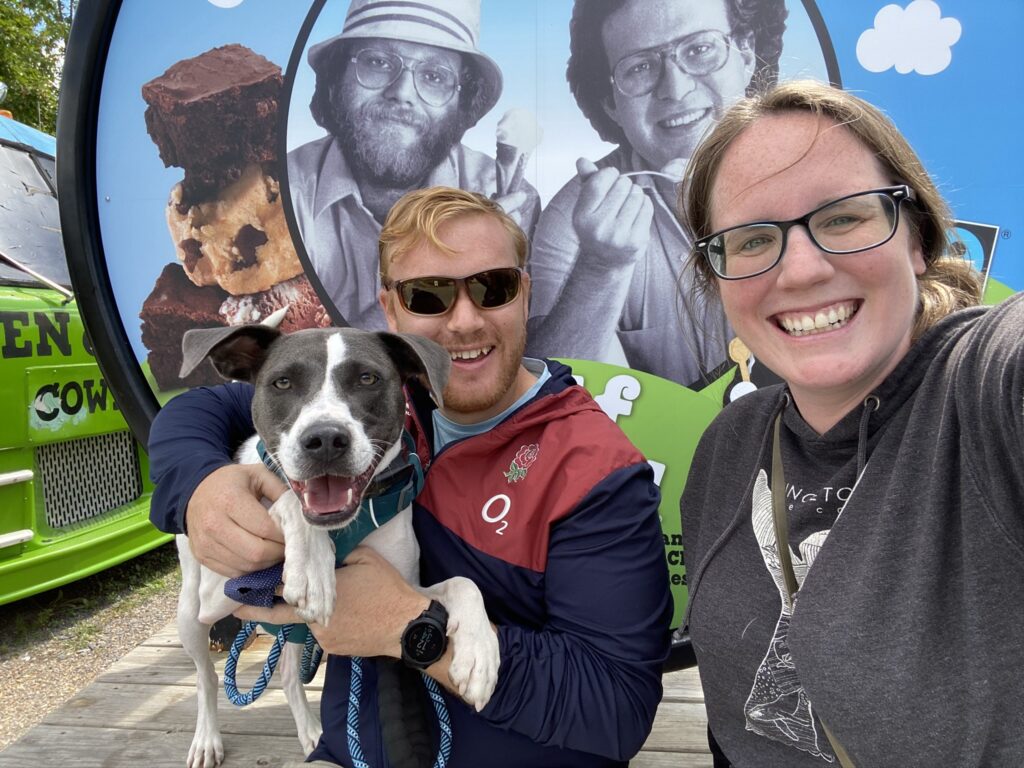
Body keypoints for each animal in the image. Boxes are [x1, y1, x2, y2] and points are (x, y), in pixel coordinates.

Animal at [175, 325, 499, 768]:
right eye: (282, 382)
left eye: (367, 378)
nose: (325, 439)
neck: (343, 527)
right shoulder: (218, 592)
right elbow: (290, 500)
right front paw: (313, 565)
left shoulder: (406, 588)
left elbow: (464, 583)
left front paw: (479, 653)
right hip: (190, 613)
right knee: (206, 678)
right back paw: (207, 738)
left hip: (290, 630)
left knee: (288, 673)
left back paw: (311, 731)